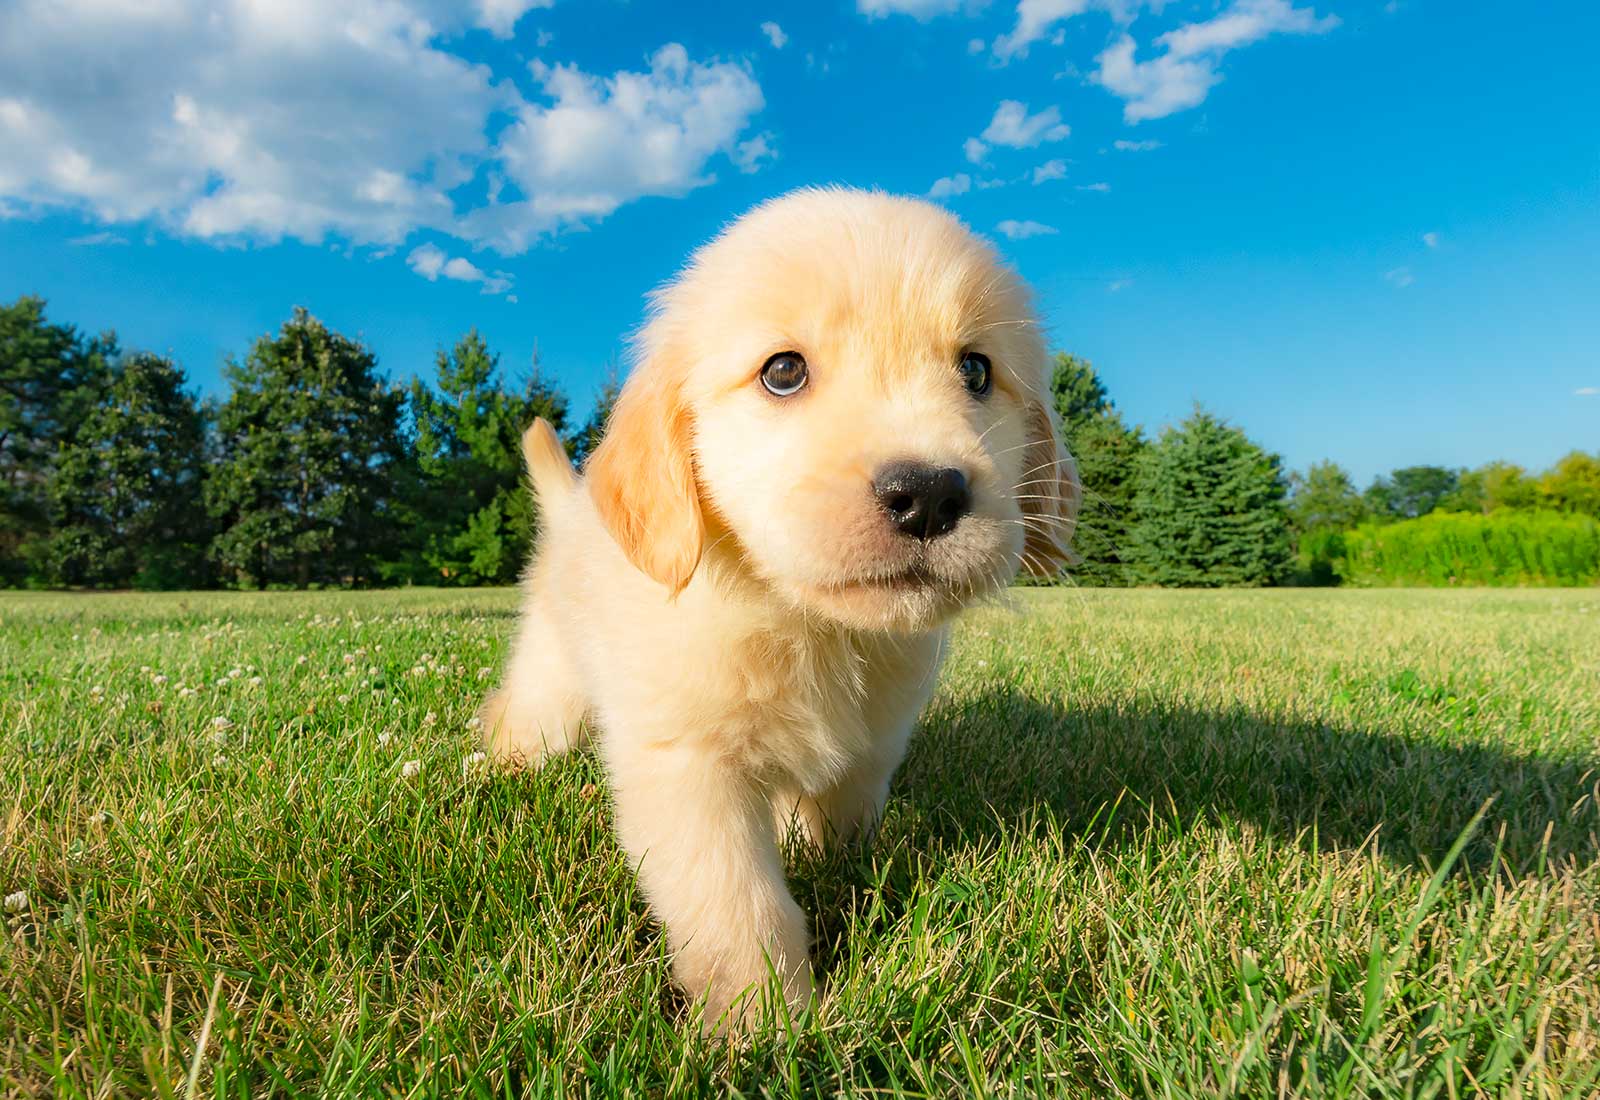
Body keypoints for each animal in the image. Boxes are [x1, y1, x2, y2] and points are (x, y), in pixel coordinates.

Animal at [473, 187, 1075, 1029]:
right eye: (782, 372)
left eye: (977, 370)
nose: (928, 495)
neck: (808, 626)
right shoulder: (687, 766)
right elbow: (738, 904)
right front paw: (766, 1023)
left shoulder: (875, 739)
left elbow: (843, 815)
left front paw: (828, 861)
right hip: (552, 679)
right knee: (518, 718)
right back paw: (491, 768)